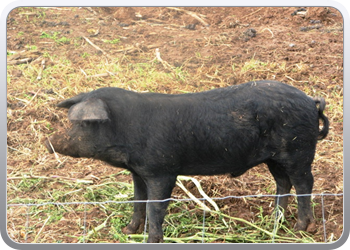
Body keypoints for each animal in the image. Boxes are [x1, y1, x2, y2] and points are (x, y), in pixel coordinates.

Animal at [44, 81, 328, 243]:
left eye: (84, 123)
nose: (49, 141)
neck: (127, 130)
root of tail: (310, 101)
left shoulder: (162, 171)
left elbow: (154, 207)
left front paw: (152, 240)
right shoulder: (138, 172)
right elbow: (137, 200)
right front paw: (128, 231)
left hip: (298, 151)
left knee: (305, 183)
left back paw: (302, 228)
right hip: (275, 158)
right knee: (283, 183)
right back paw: (273, 222)